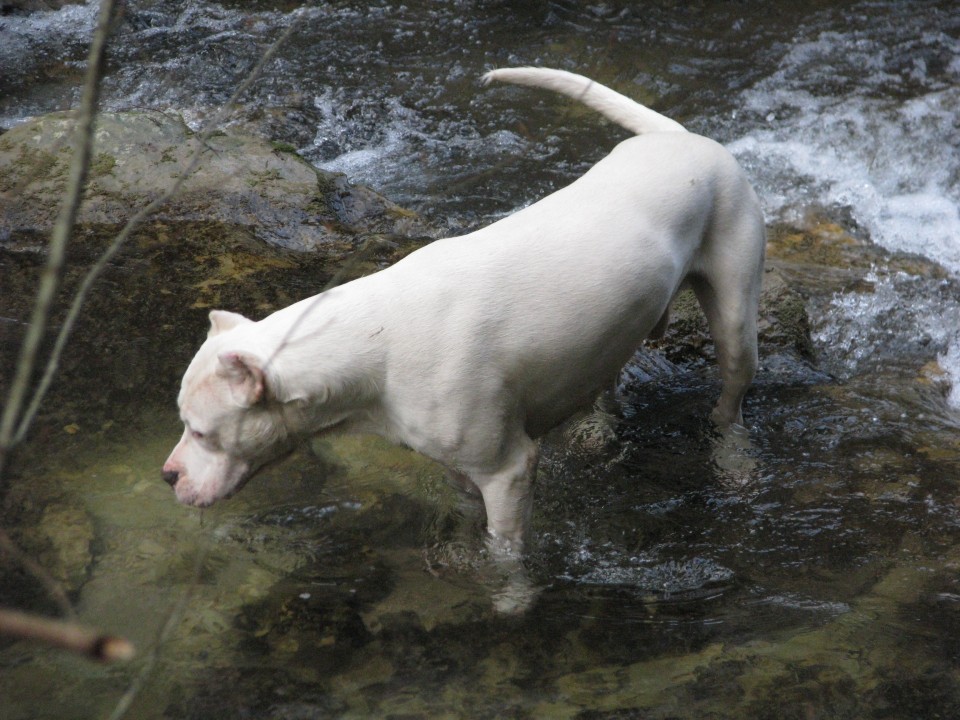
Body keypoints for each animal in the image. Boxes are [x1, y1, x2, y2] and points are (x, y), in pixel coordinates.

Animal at [163, 67, 764, 552]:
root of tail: (678, 136)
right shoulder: (458, 467)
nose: (168, 476)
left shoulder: (507, 470)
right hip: (612, 324)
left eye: (201, 432)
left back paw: (734, 460)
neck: (372, 341)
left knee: (731, 399)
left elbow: (505, 554)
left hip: (735, 309)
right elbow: (466, 512)